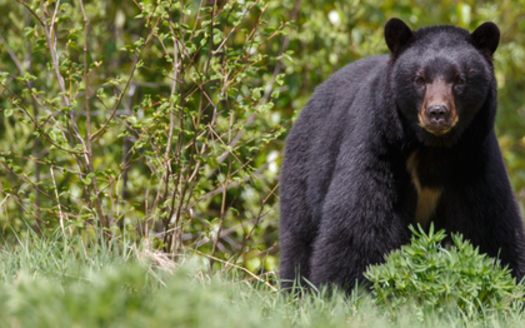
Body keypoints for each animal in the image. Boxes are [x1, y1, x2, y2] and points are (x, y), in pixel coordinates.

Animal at [278, 18, 524, 290]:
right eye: (420, 79)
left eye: (459, 79)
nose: (437, 113)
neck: (433, 148)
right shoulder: (379, 146)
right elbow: (360, 223)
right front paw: (344, 289)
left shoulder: (474, 159)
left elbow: (488, 226)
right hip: (306, 167)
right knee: (299, 237)